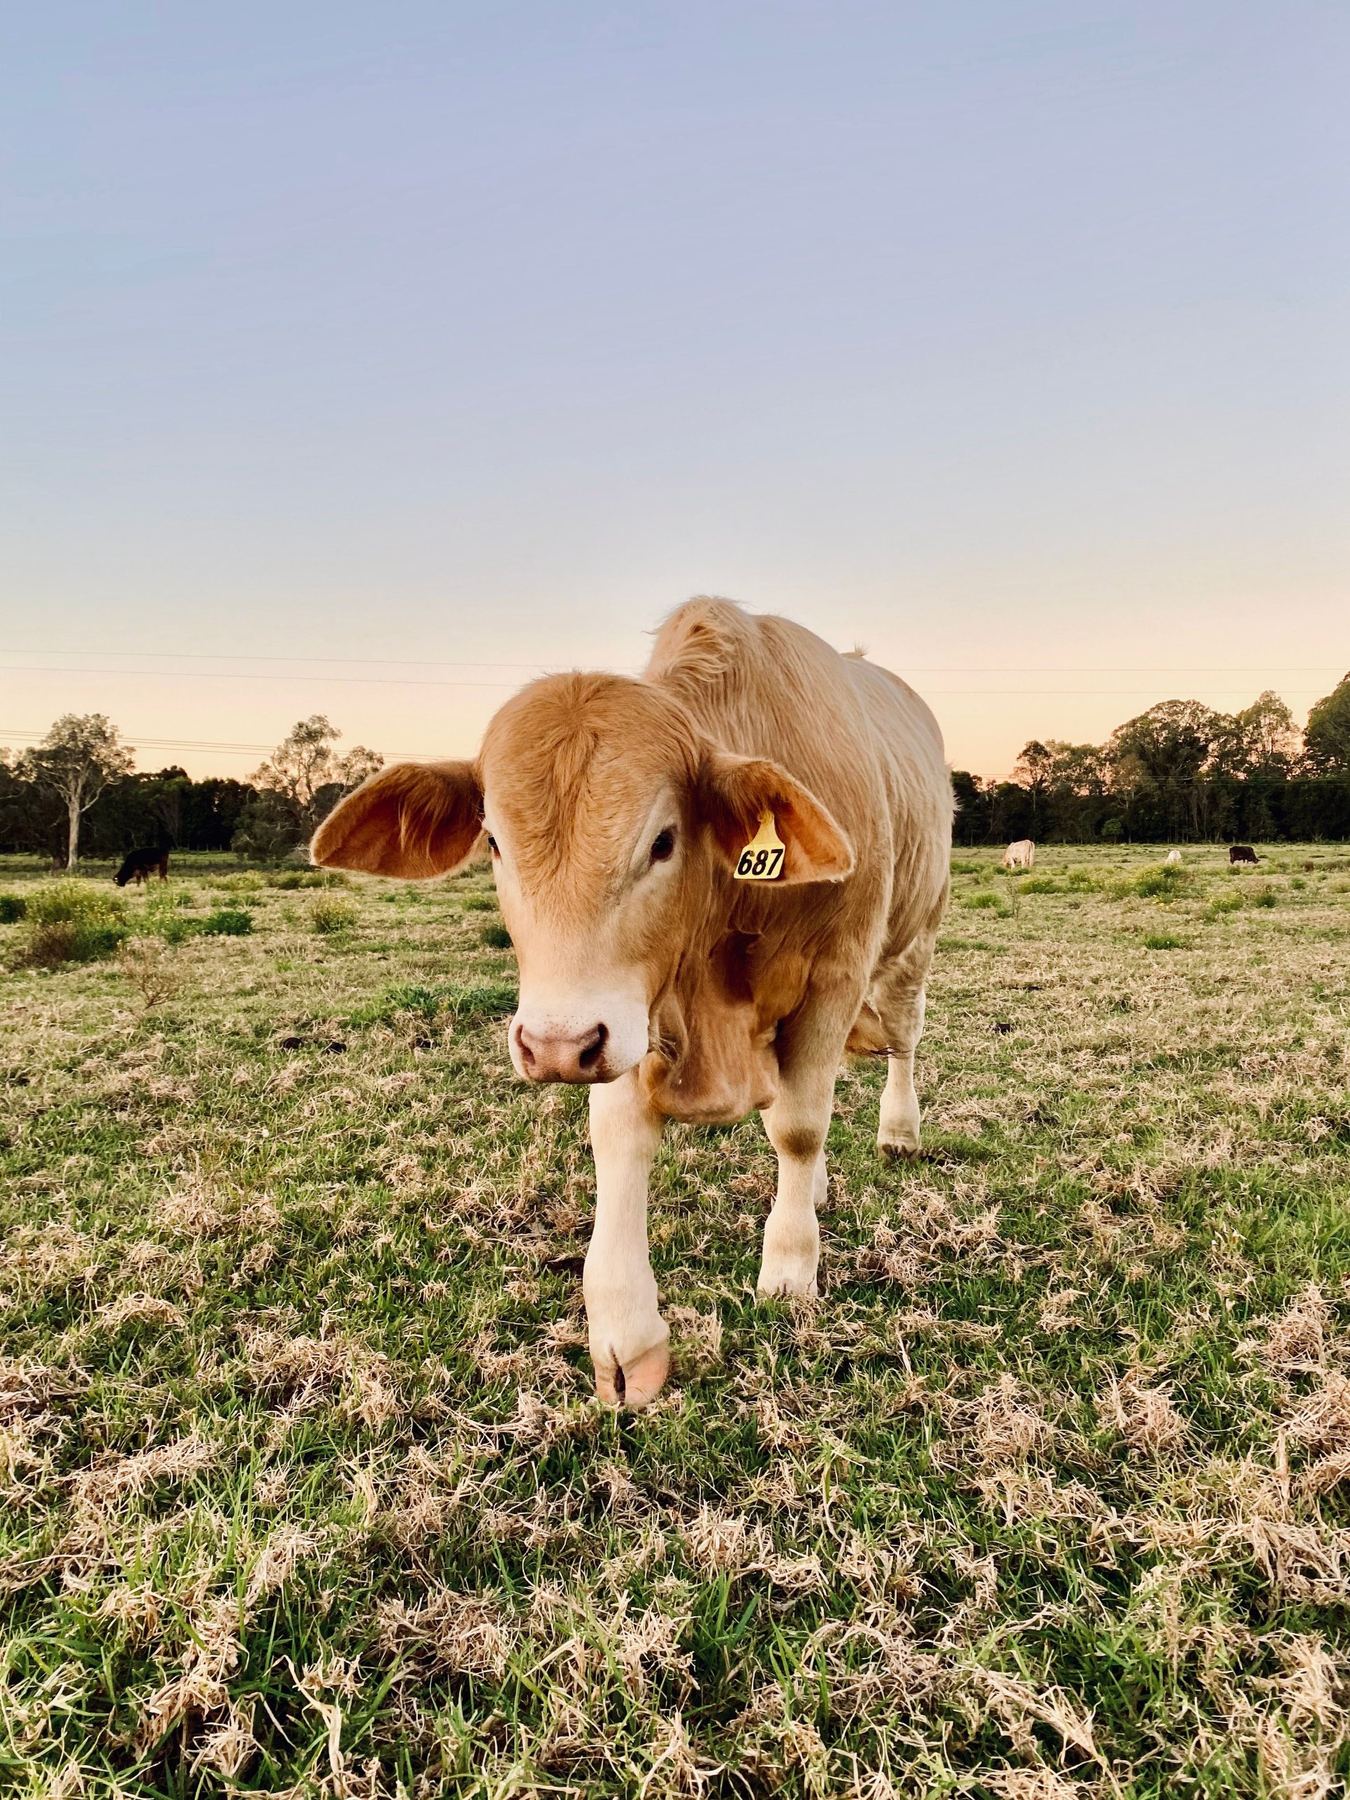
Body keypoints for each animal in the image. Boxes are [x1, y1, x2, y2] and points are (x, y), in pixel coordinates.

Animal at [312, 598, 953, 1407]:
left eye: (663, 841)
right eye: (494, 843)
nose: (553, 1045)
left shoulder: (833, 975)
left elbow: (799, 1129)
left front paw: (789, 1267)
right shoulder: (626, 1013)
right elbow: (622, 1141)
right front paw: (626, 1332)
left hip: (915, 940)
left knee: (901, 1039)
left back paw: (897, 1130)